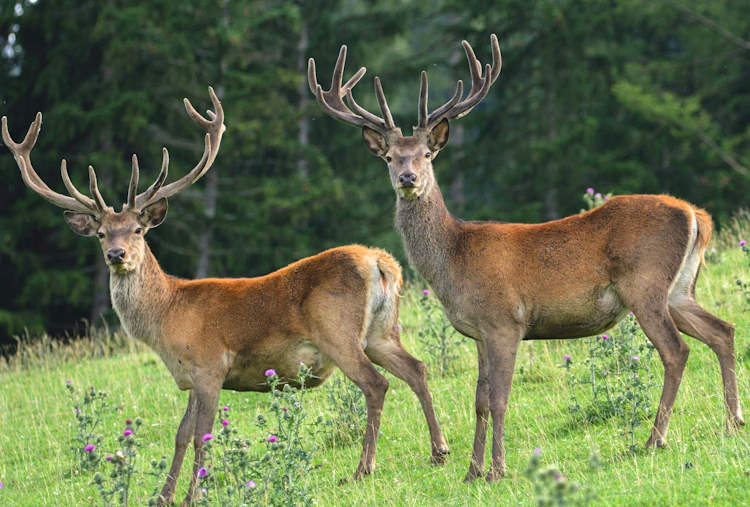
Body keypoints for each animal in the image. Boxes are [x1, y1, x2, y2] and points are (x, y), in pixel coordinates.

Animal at [2, 87, 450, 504]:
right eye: (99, 234)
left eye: (137, 230)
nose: (116, 255)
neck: (166, 316)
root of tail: (381, 262)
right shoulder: (188, 376)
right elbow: (181, 434)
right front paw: (163, 495)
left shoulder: (209, 365)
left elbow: (203, 433)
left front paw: (193, 493)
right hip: (381, 332)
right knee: (417, 368)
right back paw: (439, 451)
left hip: (338, 332)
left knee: (376, 384)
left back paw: (363, 469)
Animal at [308, 36, 744, 484]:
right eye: (390, 157)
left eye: (427, 154)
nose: (408, 179)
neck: (454, 259)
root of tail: (696, 215)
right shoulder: (479, 332)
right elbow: (479, 400)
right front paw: (472, 471)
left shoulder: (505, 320)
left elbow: (500, 398)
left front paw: (497, 469)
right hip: (680, 289)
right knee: (722, 331)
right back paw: (732, 422)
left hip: (645, 284)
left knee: (676, 351)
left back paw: (656, 438)